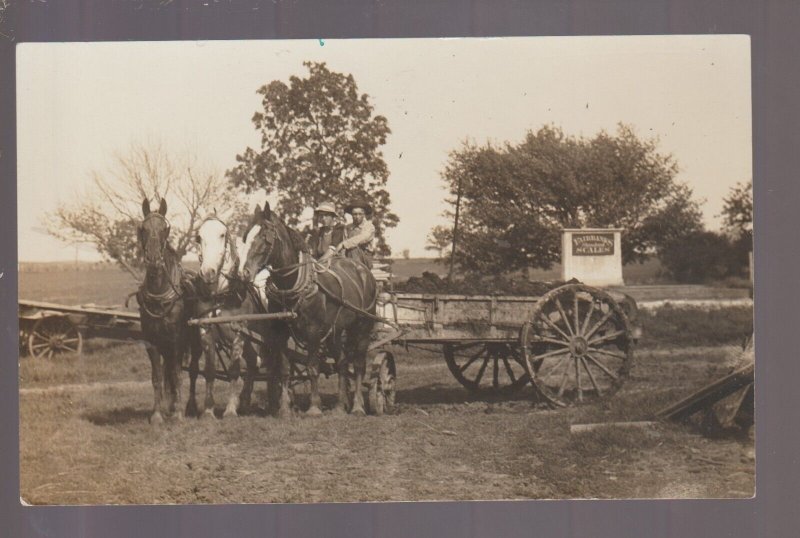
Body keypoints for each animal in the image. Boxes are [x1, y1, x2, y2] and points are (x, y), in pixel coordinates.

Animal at [137, 197, 202, 422]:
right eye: (142, 228)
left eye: (165, 229)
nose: (154, 259)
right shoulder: (152, 343)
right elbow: (157, 378)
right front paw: (157, 413)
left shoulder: (176, 342)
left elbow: (176, 375)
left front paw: (178, 413)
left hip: (194, 343)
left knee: (191, 372)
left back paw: (188, 406)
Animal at [241, 201, 378, 414]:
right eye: (246, 237)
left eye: (264, 238)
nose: (245, 273)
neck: (290, 284)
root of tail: (364, 272)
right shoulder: (280, 331)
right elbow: (285, 369)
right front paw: (284, 409)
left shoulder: (313, 331)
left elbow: (313, 367)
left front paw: (314, 407)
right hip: (334, 332)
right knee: (342, 362)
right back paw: (340, 406)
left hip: (362, 327)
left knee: (358, 365)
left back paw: (357, 406)